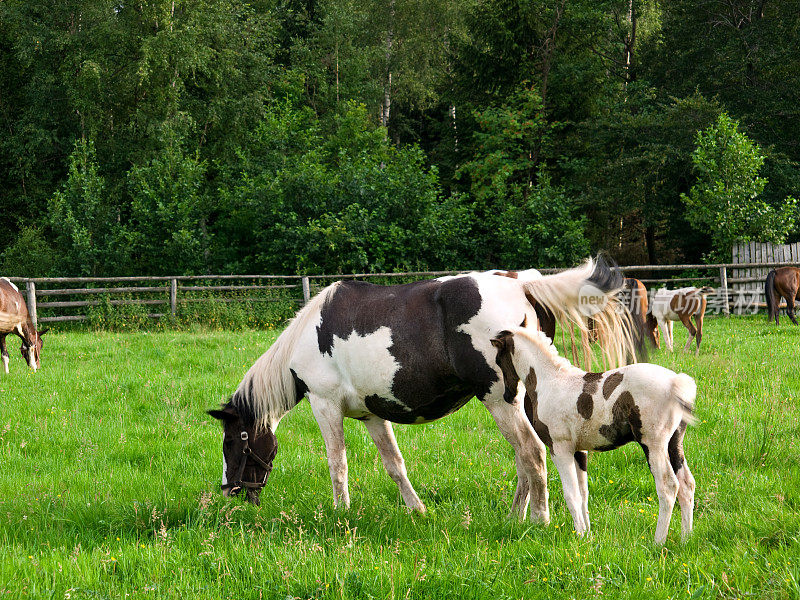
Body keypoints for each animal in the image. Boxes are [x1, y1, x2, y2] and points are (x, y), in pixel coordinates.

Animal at [209, 260, 636, 524]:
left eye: (233, 440)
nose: (232, 493)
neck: (309, 336)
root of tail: (522, 283)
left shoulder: (325, 405)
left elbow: (337, 464)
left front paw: (340, 514)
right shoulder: (372, 414)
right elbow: (394, 464)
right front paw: (417, 511)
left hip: (501, 401)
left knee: (531, 454)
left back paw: (538, 520)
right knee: (529, 457)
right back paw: (516, 518)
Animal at [490, 326, 696, 548]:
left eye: (499, 359)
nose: (509, 396)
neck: (551, 381)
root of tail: (676, 382)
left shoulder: (560, 449)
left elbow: (571, 494)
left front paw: (579, 535)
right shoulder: (579, 451)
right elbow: (583, 493)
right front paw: (587, 535)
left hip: (654, 446)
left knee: (668, 487)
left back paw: (658, 542)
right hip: (674, 444)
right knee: (687, 485)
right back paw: (686, 538)